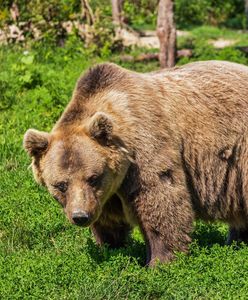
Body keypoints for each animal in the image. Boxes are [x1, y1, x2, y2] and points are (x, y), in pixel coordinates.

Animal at [23, 60, 248, 264]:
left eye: (93, 178)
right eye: (61, 184)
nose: (80, 216)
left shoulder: (146, 149)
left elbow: (160, 201)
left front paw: (160, 261)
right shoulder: (107, 193)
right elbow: (109, 220)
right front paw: (110, 247)